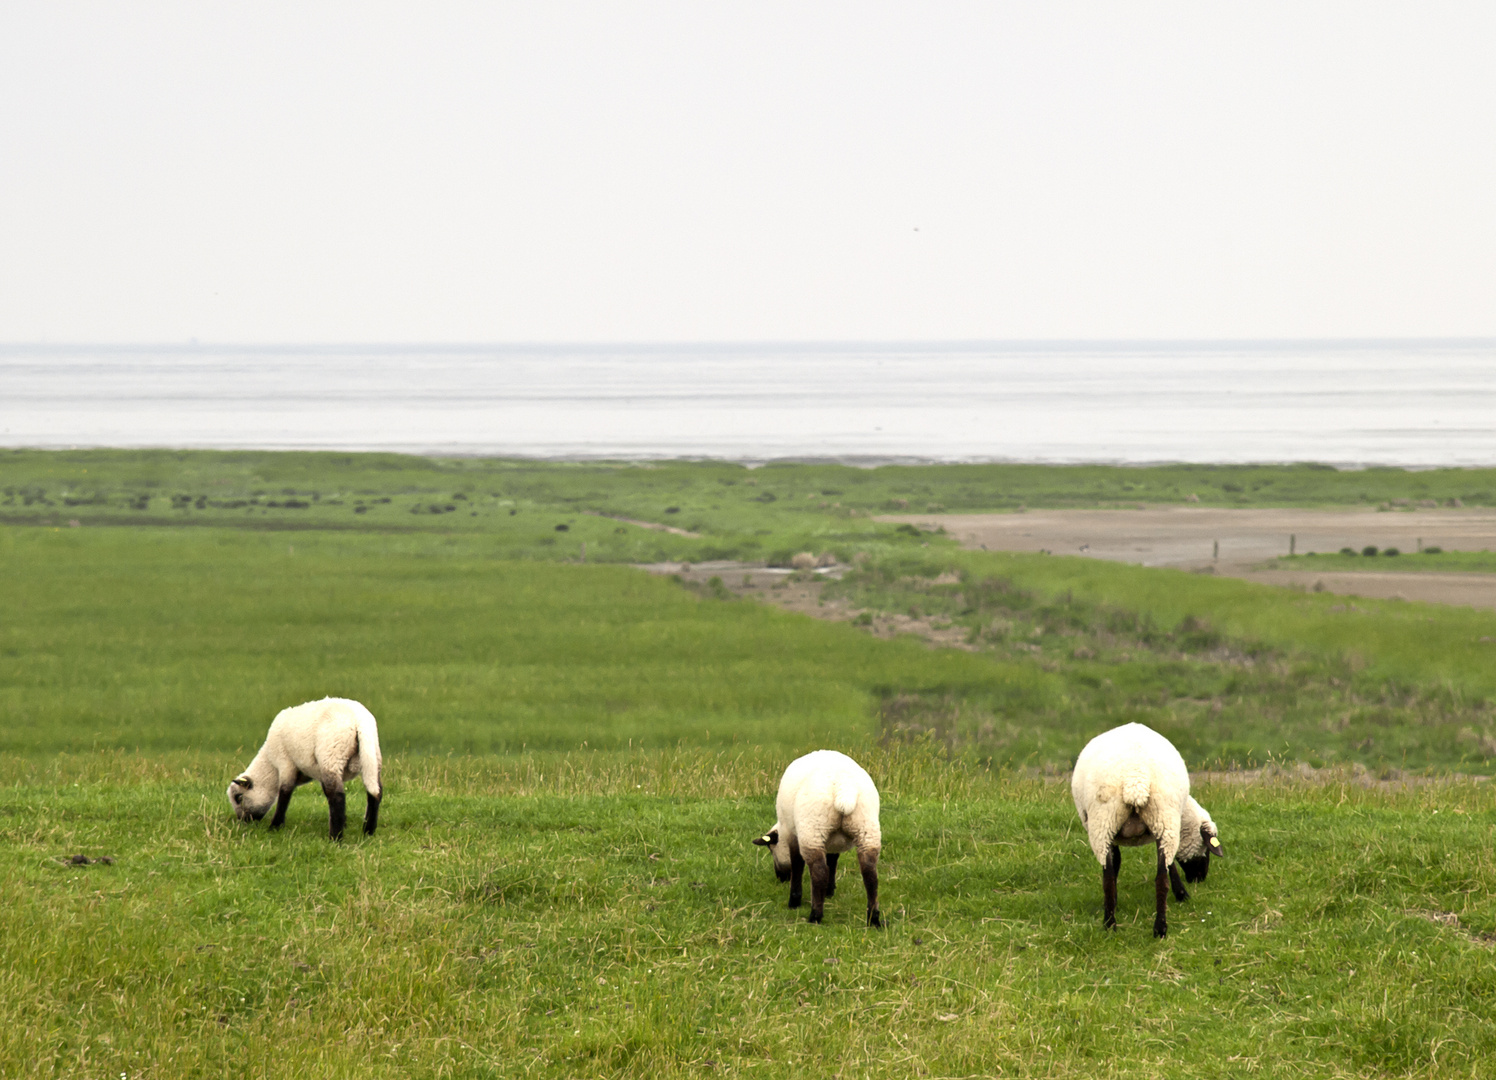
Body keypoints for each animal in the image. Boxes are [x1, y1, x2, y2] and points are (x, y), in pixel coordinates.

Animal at [227, 697, 382, 843]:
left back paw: (335, 838)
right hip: (372, 756)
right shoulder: (318, 771)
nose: (243, 822)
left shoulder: (286, 763)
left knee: (338, 796)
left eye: (239, 797)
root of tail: (359, 720)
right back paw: (368, 831)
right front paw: (343, 822)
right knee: (375, 793)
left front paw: (275, 826)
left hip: (331, 756)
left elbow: (285, 793)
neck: (271, 766)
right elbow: (326, 793)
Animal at [753, 747, 879, 927]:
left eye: (771, 850)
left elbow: (797, 863)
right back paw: (874, 918)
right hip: (867, 828)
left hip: (812, 828)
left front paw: (795, 900)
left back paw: (815, 916)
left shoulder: (792, 833)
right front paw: (829, 891)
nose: (781, 878)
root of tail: (844, 789)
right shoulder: (833, 842)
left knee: (819, 872)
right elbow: (832, 861)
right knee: (870, 874)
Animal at [1077, 723, 1226, 933]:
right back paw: (1156, 927)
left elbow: (1119, 864)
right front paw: (1182, 894)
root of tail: (1135, 780)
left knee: (1112, 878)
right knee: (1157, 879)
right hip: (1151, 818)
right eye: (1206, 848)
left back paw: (1115, 924)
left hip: (1106, 822)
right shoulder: (1167, 828)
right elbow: (1168, 865)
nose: (1199, 878)